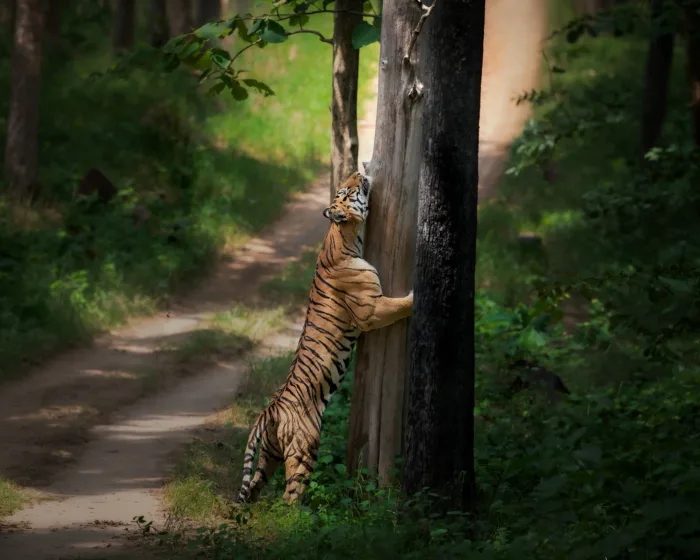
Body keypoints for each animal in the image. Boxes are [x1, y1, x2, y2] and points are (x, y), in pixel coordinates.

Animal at [235, 170, 414, 505]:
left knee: (252, 489)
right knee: (289, 498)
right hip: (304, 448)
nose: (359, 171)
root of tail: (269, 409)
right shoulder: (371, 309)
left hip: (269, 454)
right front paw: (418, 295)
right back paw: (302, 516)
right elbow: (400, 305)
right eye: (346, 190)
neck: (344, 235)